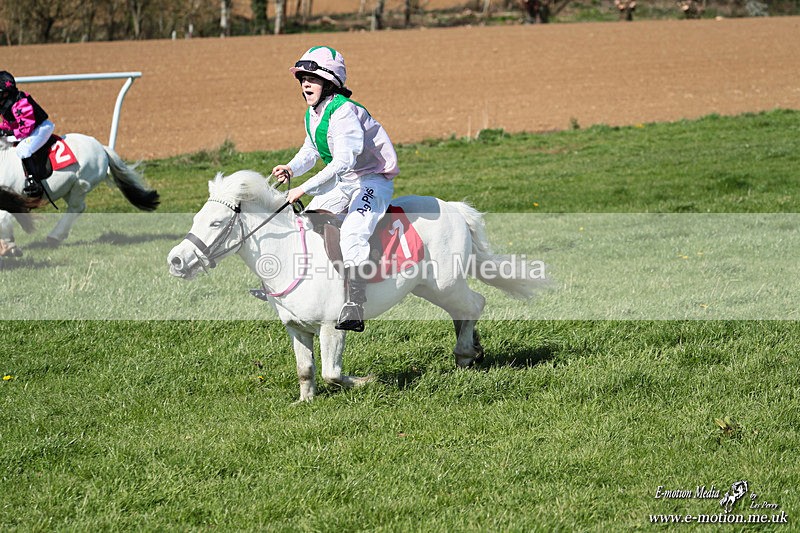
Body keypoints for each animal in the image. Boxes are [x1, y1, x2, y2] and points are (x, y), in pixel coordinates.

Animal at [0, 133, 159, 257]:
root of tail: (101, 147)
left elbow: (4, 219)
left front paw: (9, 247)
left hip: (81, 184)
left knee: (76, 207)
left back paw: (54, 236)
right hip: (67, 188)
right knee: (77, 208)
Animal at [167, 170, 538, 402]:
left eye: (216, 223)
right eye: (196, 219)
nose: (176, 261)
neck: (290, 254)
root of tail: (454, 208)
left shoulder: (334, 325)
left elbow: (332, 373)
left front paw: (369, 381)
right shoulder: (296, 328)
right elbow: (305, 369)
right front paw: (304, 402)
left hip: (444, 282)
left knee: (474, 304)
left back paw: (465, 354)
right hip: (427, 287)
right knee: (463, 311)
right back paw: (473, 349)